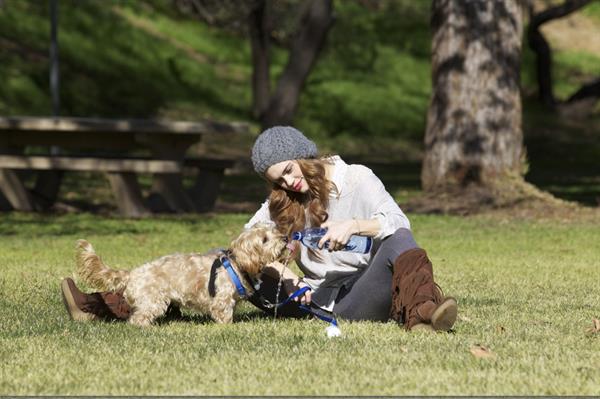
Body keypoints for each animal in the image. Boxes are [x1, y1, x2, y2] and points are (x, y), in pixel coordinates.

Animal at [75, 223, 290, 326]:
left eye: (273, 231)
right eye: (264, 239)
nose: (286, 238)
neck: (237, 264)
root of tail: (133, 273)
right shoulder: (222, 298)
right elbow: (223, 314)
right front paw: (227, 326)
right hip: (153, 301)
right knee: (137, 319)